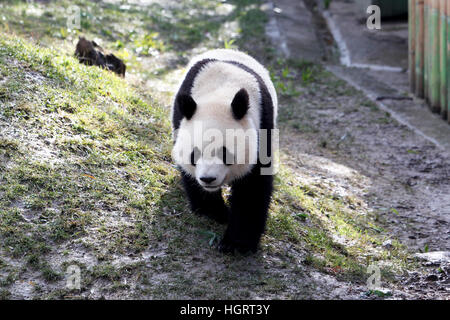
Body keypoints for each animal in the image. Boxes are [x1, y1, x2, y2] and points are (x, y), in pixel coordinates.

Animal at [172, 49, 278, 255]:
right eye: (194, 155)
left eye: (225, 154)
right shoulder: (179, 120)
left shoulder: (262, 126)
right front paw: (213, 211)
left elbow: (252, 187)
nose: (208, 179)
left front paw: (236, 243)